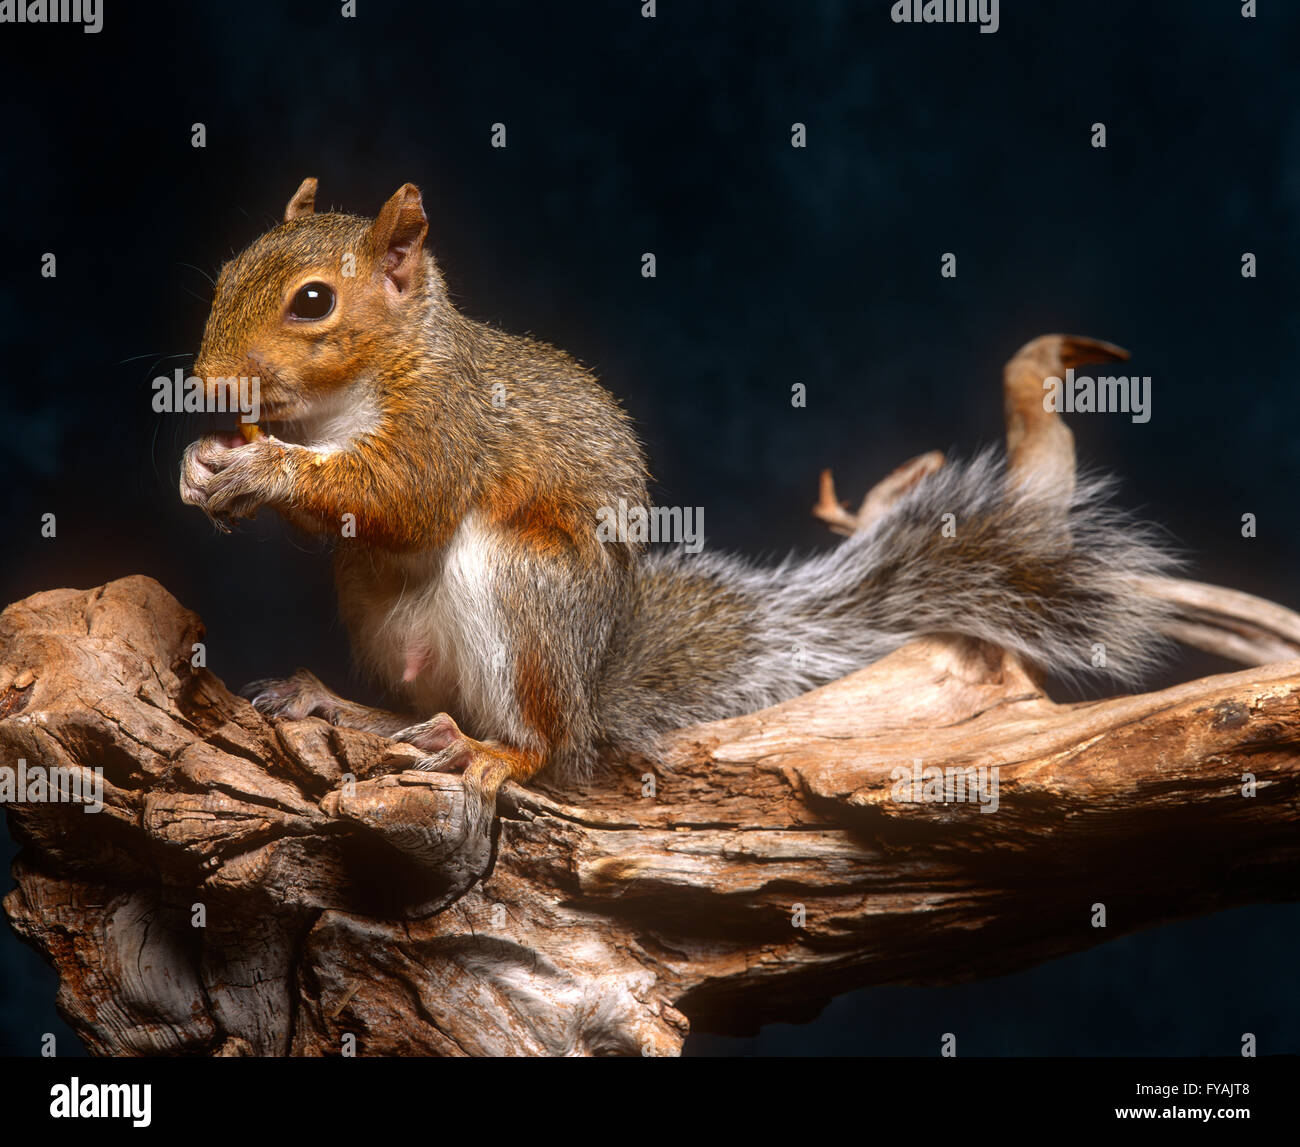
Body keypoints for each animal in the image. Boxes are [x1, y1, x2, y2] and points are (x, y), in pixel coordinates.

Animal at [180, 176, 1180, 821]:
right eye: (225, 275)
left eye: (314, 302)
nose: (206, 384)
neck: (350, 394)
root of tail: (591, 687)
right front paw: (202, 464)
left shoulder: (449, 425)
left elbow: (400, 496)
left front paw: (260, 470)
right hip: (383, 619)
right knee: (427, 704)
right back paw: (342, 706)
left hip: (526, 593)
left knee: (549, 752)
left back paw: (492, 750)